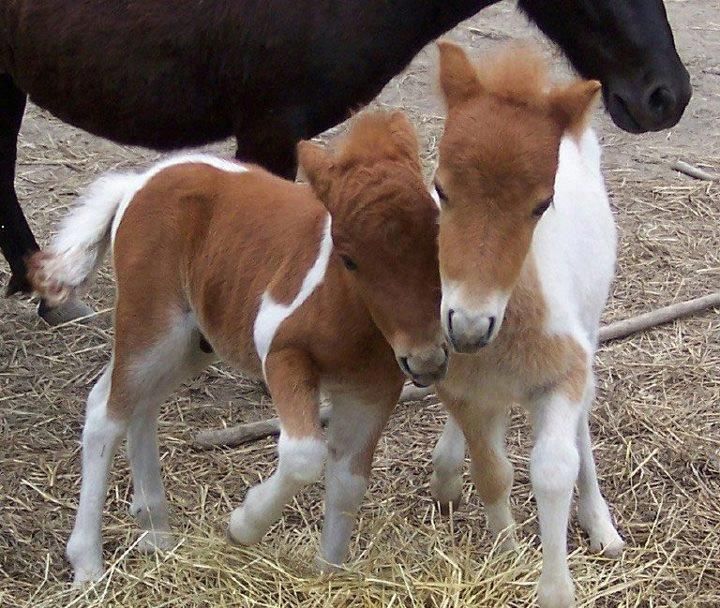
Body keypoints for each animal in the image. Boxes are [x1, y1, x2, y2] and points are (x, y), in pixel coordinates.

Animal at [31, 110, 448, 584]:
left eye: (436, 241)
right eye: (350, 258)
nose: (426, 359)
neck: (344, 307)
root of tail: (137, 183)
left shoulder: (372, 390)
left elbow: (348, 483)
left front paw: (326, 576)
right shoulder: (283, 355)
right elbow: (304, 456)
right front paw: (243, 526)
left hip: (193, 341)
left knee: (138, 403)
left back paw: (155, 530)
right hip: (152, 325)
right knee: (107, 413)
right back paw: (88, 563)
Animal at [428, 44, 624, 608]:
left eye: (542, 203)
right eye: (440, 189)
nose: (469, 326)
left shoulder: (564, 373)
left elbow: (554, 470)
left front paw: (555, 588)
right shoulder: (461, 384)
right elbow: (493, 471)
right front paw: (508, 552)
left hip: (591, 327)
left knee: (583, 425)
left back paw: (601, 525)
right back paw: (445, 472)